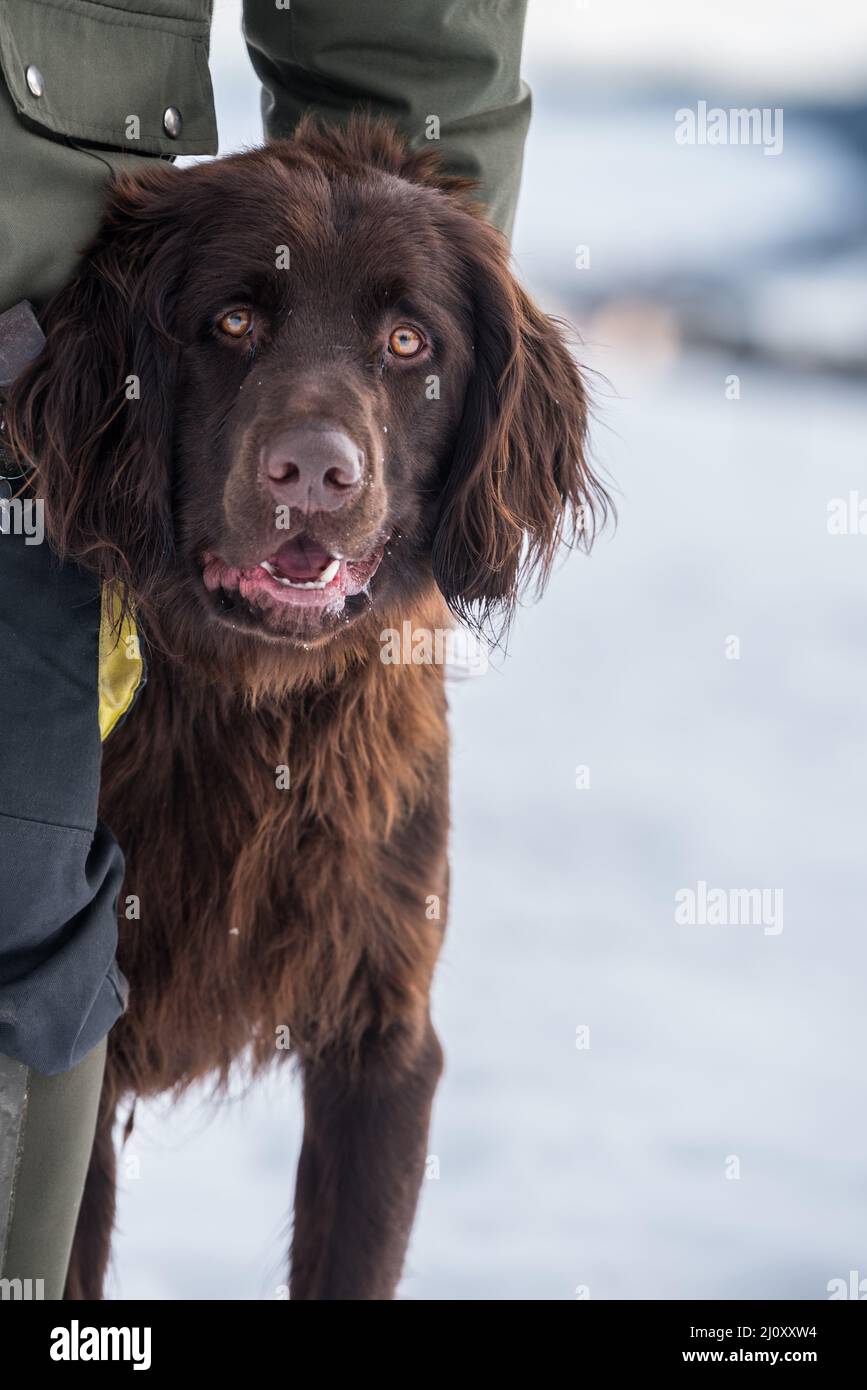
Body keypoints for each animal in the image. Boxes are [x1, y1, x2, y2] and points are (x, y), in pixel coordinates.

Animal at [6, 113, 605, 1295]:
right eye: (233, 321)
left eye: (410, 342)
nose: (316, 473)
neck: (258, 712)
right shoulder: (95, 1049)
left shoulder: (383, 1040)